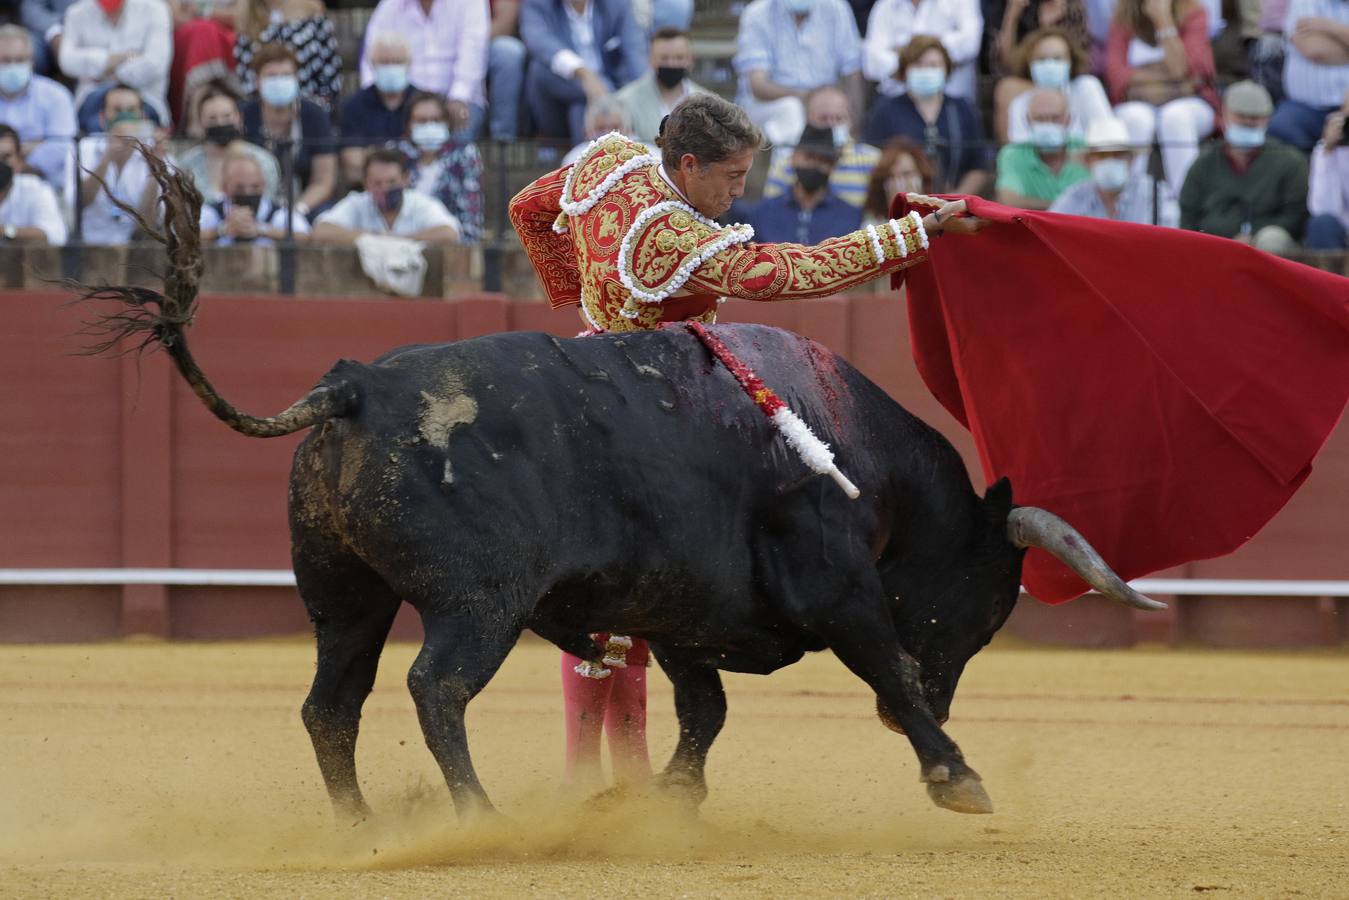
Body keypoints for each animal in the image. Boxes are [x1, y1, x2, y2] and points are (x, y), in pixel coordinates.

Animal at [87, 302, 1160, 814]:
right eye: (987, 605)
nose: (934, 710)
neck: (867, 464)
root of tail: (353, 388)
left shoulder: (681, 605)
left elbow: (701, 708)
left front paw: (667, 796)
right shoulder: (839, 589)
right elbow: (886, 667)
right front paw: (955, 775)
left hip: (344, 598)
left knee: (331, 704)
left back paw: (362, 824)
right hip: (479, 604)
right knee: (436, 687)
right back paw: (477, 813)